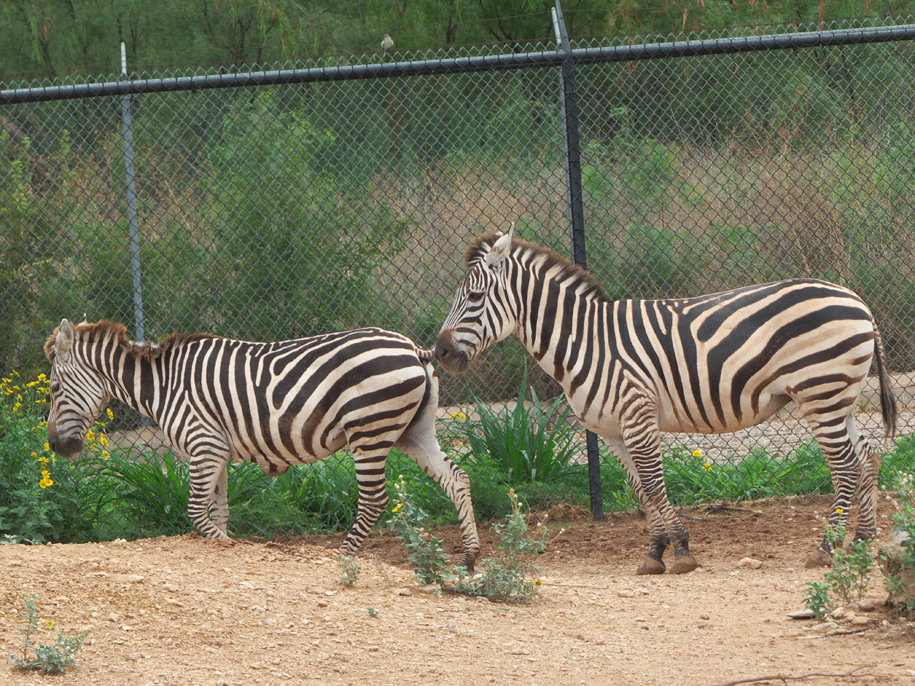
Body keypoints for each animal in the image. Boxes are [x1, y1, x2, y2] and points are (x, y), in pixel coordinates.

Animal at [46, 318, 484, 568]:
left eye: (52, 389)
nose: (56, 448)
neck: (164, 385)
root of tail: (412, 347)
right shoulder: (217, 450)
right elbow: (218, 511)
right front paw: (228, 545)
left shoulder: (204, 446)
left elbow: (197, 514)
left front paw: (228, 546)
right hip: (413, 432)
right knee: (457, 479)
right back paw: (470, 555)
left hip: (369, 430)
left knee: (374, 499)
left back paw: (342, 556)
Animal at [434, 226, 896, 576]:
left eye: (473, 298)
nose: (439, 352)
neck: (585, 342)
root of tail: (856, 299)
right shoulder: (612, 431)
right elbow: (641, 489)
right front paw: (655, 552)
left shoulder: (638, 415)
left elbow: (655, 484)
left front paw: (682, 550)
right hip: (840, 397)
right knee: (868, 455)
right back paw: (863, 539)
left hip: (821, 392)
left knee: (845, 466)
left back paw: (827, 547)